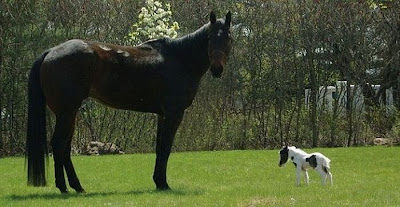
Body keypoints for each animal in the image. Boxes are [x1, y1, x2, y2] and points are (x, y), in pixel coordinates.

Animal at [26, 10, 233, 192]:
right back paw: (63, 187)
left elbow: (159, 147)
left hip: (70, 114)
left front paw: (158, 182)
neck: (180, 59)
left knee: (65, 148)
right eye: (210, 38)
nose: (217, 69)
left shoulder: (162, 115)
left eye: (229, 38)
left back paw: (77, 187)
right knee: (58, 145)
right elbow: (166, 147)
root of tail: (51, 52)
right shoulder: (173, 114)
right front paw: (163, 183)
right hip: (66, 113)